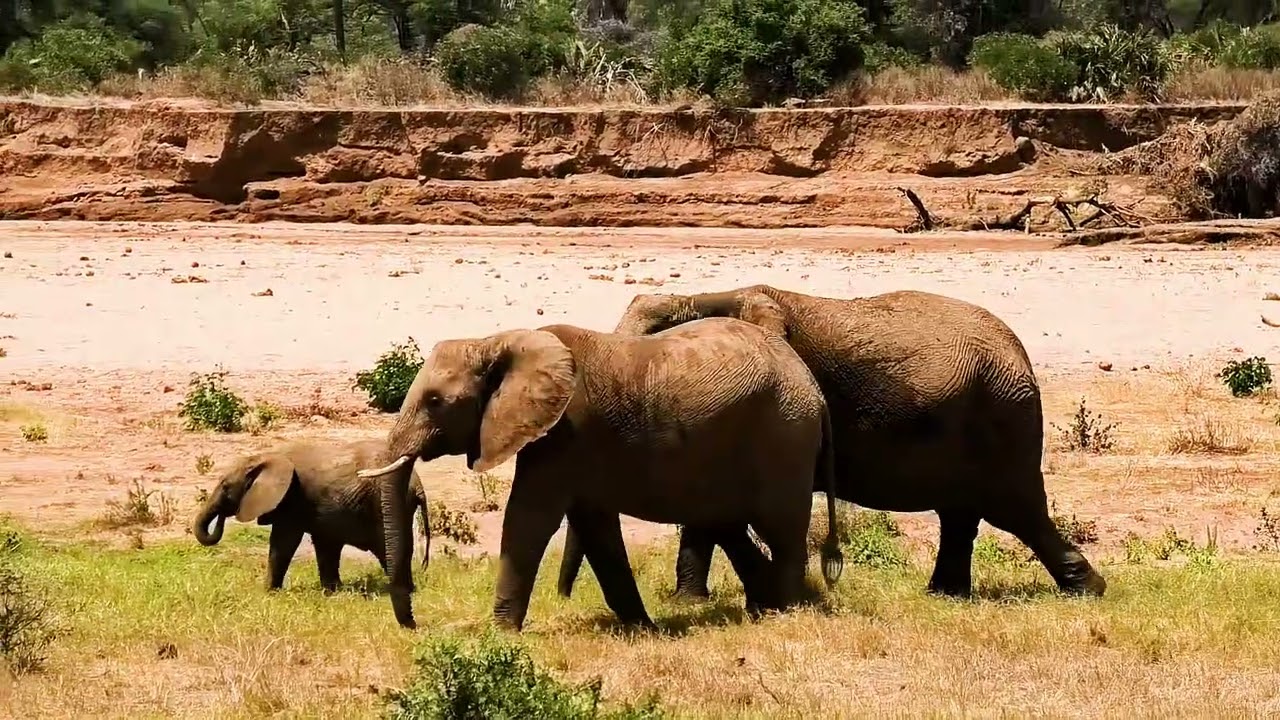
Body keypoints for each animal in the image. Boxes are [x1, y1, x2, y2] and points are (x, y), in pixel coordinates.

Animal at [191, 438, 431, 592]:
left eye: (225, 487)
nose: (221, 518)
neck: (267, 457)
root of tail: (418, 484)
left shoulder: (292, 500)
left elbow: (283, 543)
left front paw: (268, 592)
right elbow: (325, 545)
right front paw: (332, 592)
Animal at [358, 317, 845, 631]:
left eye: (435, 401)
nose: (414, 625)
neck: (499, 340)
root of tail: (813, 388)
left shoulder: (566, 431)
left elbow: (529, 520)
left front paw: (500, 634)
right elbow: (595, 527)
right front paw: (643, 629)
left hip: (784, 435)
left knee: (780, 527)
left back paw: (784, 612)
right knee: (728, 523)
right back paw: (763, 605)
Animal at [555, 285, 1106, 603]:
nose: (562, 598)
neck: (715, 292)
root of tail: (1019, 349)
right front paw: (688, 602)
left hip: (1003, 414)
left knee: (1014, 509)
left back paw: (1086, 591)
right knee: (963, 513)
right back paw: (944, 596)